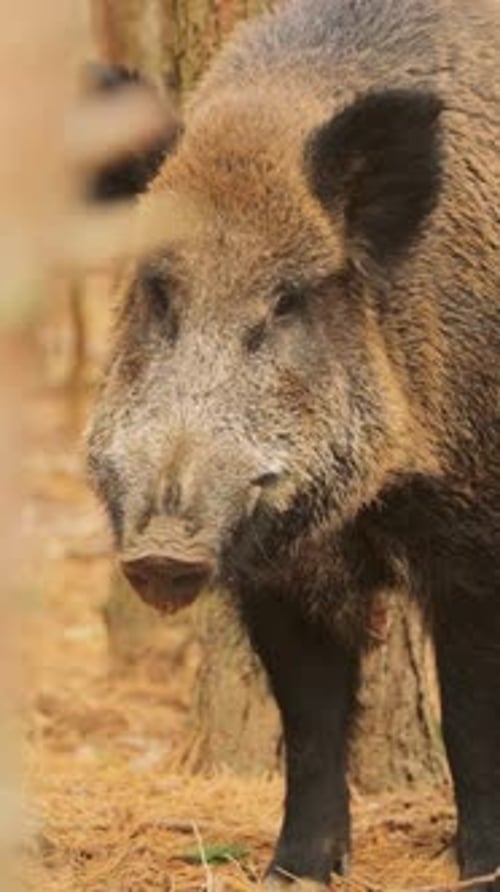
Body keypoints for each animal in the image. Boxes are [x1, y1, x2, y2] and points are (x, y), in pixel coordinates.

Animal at [86, 0, 500, 888]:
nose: (162, 552)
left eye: (287, 302)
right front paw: (293, 873)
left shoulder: (475, 531)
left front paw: (484, 870)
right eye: (158, 293)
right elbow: (309, 721)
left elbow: (470, 713)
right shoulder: (277, 569)